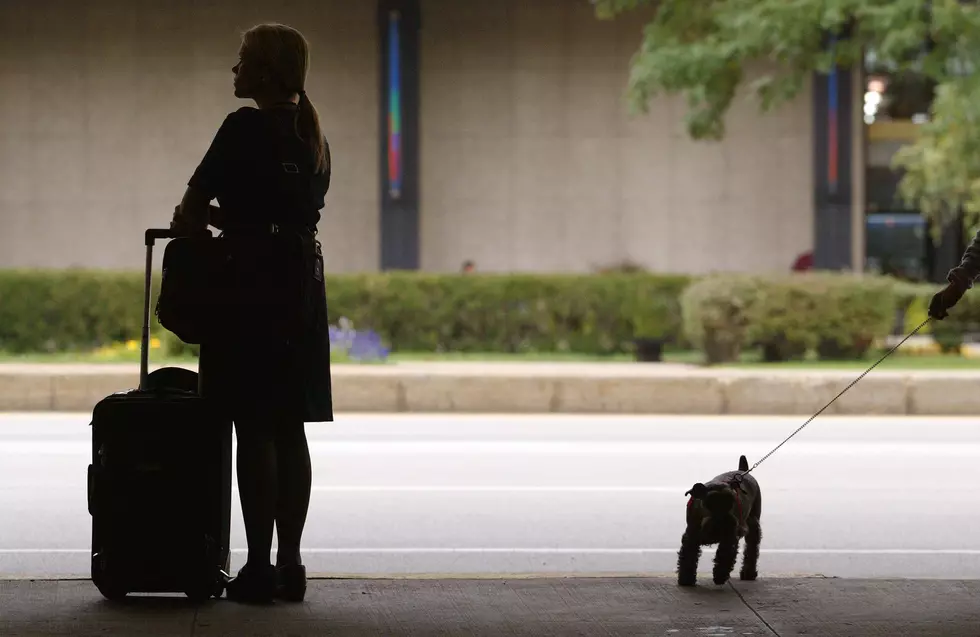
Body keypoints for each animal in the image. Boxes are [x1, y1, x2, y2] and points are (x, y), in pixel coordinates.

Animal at [676, 452, 760, 588]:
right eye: (711, 501)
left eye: (732, 499)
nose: (726, 522)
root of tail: (743, 470)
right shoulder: (691, 536)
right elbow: (688, 556)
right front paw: (686, 580)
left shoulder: (729, 538)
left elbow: (724, 555)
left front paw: (720, 576)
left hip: (753, 524)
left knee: (752, 548)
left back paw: (748, 573)